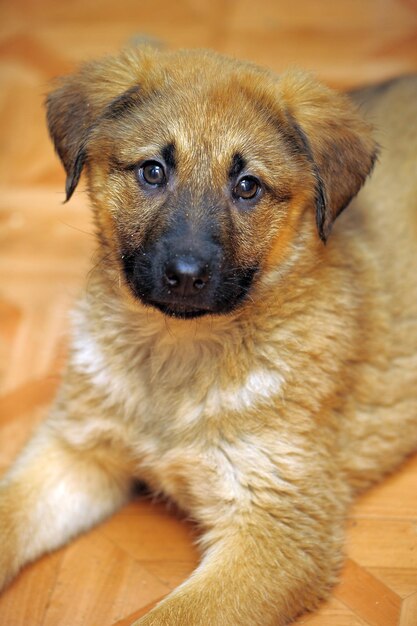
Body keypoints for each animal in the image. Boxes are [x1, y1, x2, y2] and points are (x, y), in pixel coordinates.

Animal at [0, 45, 416, 624]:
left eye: (247, 186)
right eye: (153, 172)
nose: (186, 274)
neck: (174, 355)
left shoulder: (274, 523)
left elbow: (172, 616)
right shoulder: (76, 449)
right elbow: (8, 515)